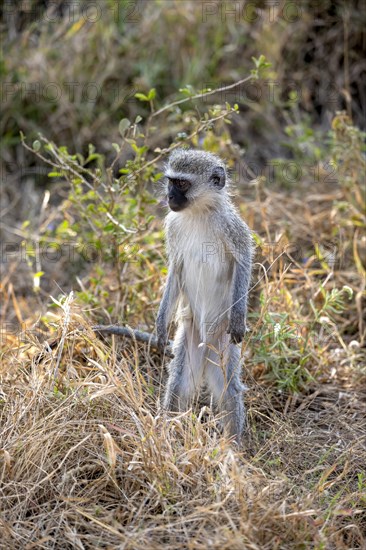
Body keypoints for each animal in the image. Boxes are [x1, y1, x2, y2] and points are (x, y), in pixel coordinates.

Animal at [156, 149, 253, 442]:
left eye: (182, 184)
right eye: (171, 182)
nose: (169, 197)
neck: (198, 211)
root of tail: (207, 340)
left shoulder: (230, 225)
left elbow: (243, 258)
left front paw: (239, 319)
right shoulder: (172, 226)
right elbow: (176, 269)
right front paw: (160, 325)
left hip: (222, 344)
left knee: (228, 389)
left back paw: (232, 447)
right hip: (190, 338)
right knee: (180, 383)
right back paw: (169, 436)